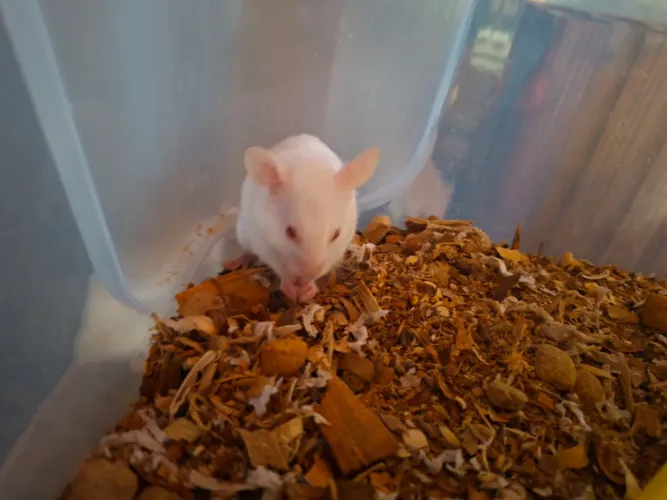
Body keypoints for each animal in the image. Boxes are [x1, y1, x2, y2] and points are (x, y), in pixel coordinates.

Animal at [225, 134, 379, 303]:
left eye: (336, 234)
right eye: (289, 232)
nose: (309, 274)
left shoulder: (336, 251)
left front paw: (306, 291)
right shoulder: (265, 244)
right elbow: (282, 270)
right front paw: (292, 291)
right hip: (243, 233)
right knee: (247, 251)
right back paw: (232, 264)